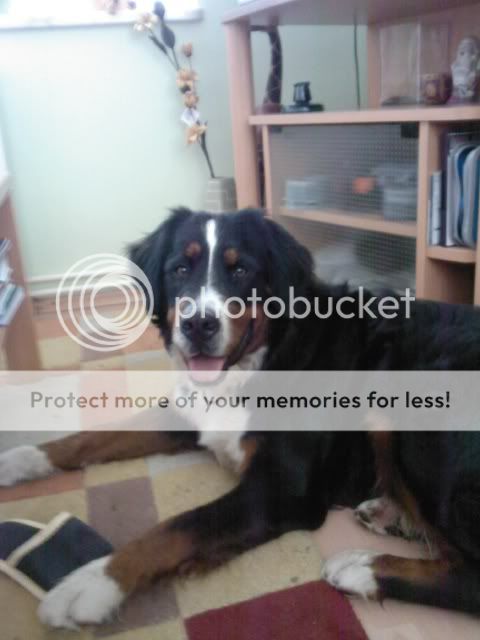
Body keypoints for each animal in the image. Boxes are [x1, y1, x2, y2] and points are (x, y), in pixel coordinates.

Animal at [1, 207, 480, 629]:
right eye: (180, 269)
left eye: (240, 271)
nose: (198, 325)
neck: (260, 361)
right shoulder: (190, 416)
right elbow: (94, 438)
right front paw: (22, 458)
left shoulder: (280, 488)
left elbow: (178, 525)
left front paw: (93, 582)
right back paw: (385, 513)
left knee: (469, 573)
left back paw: (360, 567)